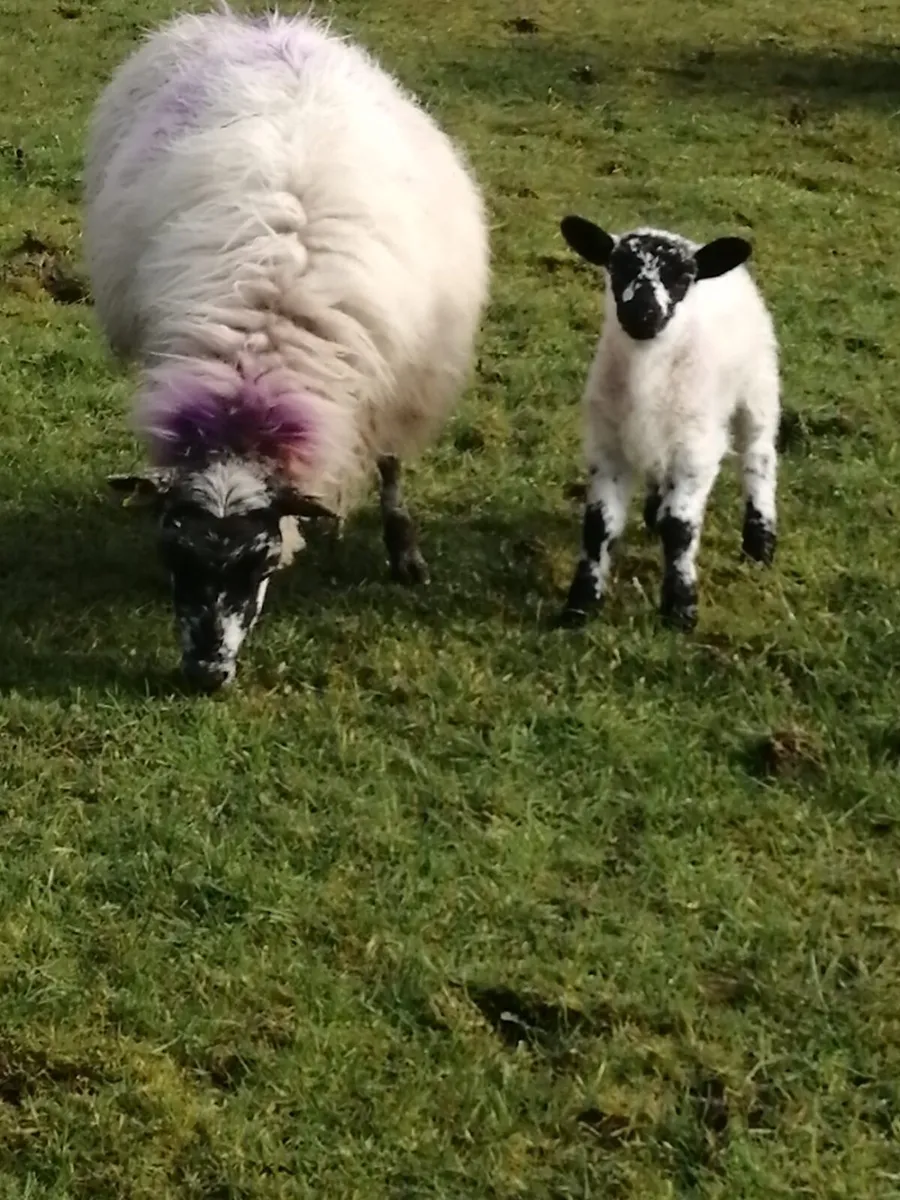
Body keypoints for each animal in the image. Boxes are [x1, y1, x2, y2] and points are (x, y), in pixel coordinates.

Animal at [83, 7, 489, 690]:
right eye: (176, 556)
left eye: (260, 564)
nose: (205, 675)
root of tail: (253, 21)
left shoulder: (398, 381)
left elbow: (390, 465)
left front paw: (405, 553)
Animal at [555, 214, 780, 631]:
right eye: (617, 266)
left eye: (683, 277)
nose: (642, 313)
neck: (648, 369)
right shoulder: (606, 446)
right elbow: (598, 525)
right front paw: (580, 605)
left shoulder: (696, 450)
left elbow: (679, 529)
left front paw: (680, 607)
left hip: (758, 387)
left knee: (758, 457)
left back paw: (760, 543)